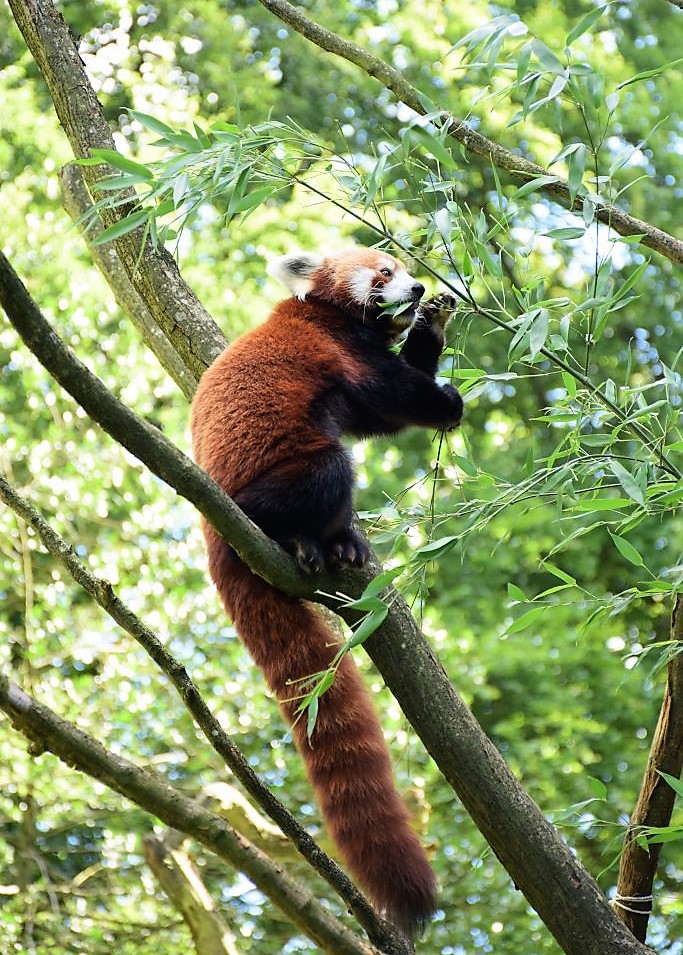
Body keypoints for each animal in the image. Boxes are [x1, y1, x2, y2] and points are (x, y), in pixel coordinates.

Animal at [190, 243, 462, 936]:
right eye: (383, 273)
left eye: (404, 267)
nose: (416, 288)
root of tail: (215, 534)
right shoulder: (334, 348)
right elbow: (393, 396)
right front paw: (446, 395)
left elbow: (375, 412)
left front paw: (434, 322)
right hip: (273, 480)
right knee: (332, 466)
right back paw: (303, 541)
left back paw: (342, 545)